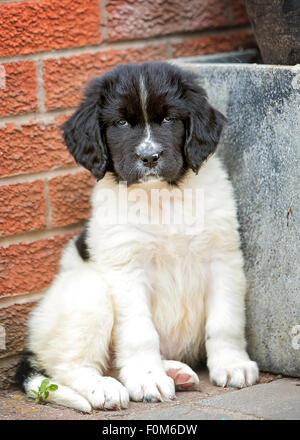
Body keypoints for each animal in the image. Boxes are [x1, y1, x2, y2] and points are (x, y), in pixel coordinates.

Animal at [16, 61, 258, 412]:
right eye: (121, 123)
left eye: (169, 119)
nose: (149, 157)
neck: (161, 198)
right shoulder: (127, 269)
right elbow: (140, 331)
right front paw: (147, 378)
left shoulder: (223, 257)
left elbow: (225, 321)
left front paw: (232, 364)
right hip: (88, 293)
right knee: (70, 367)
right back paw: (105, 388)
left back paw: (175, 371)